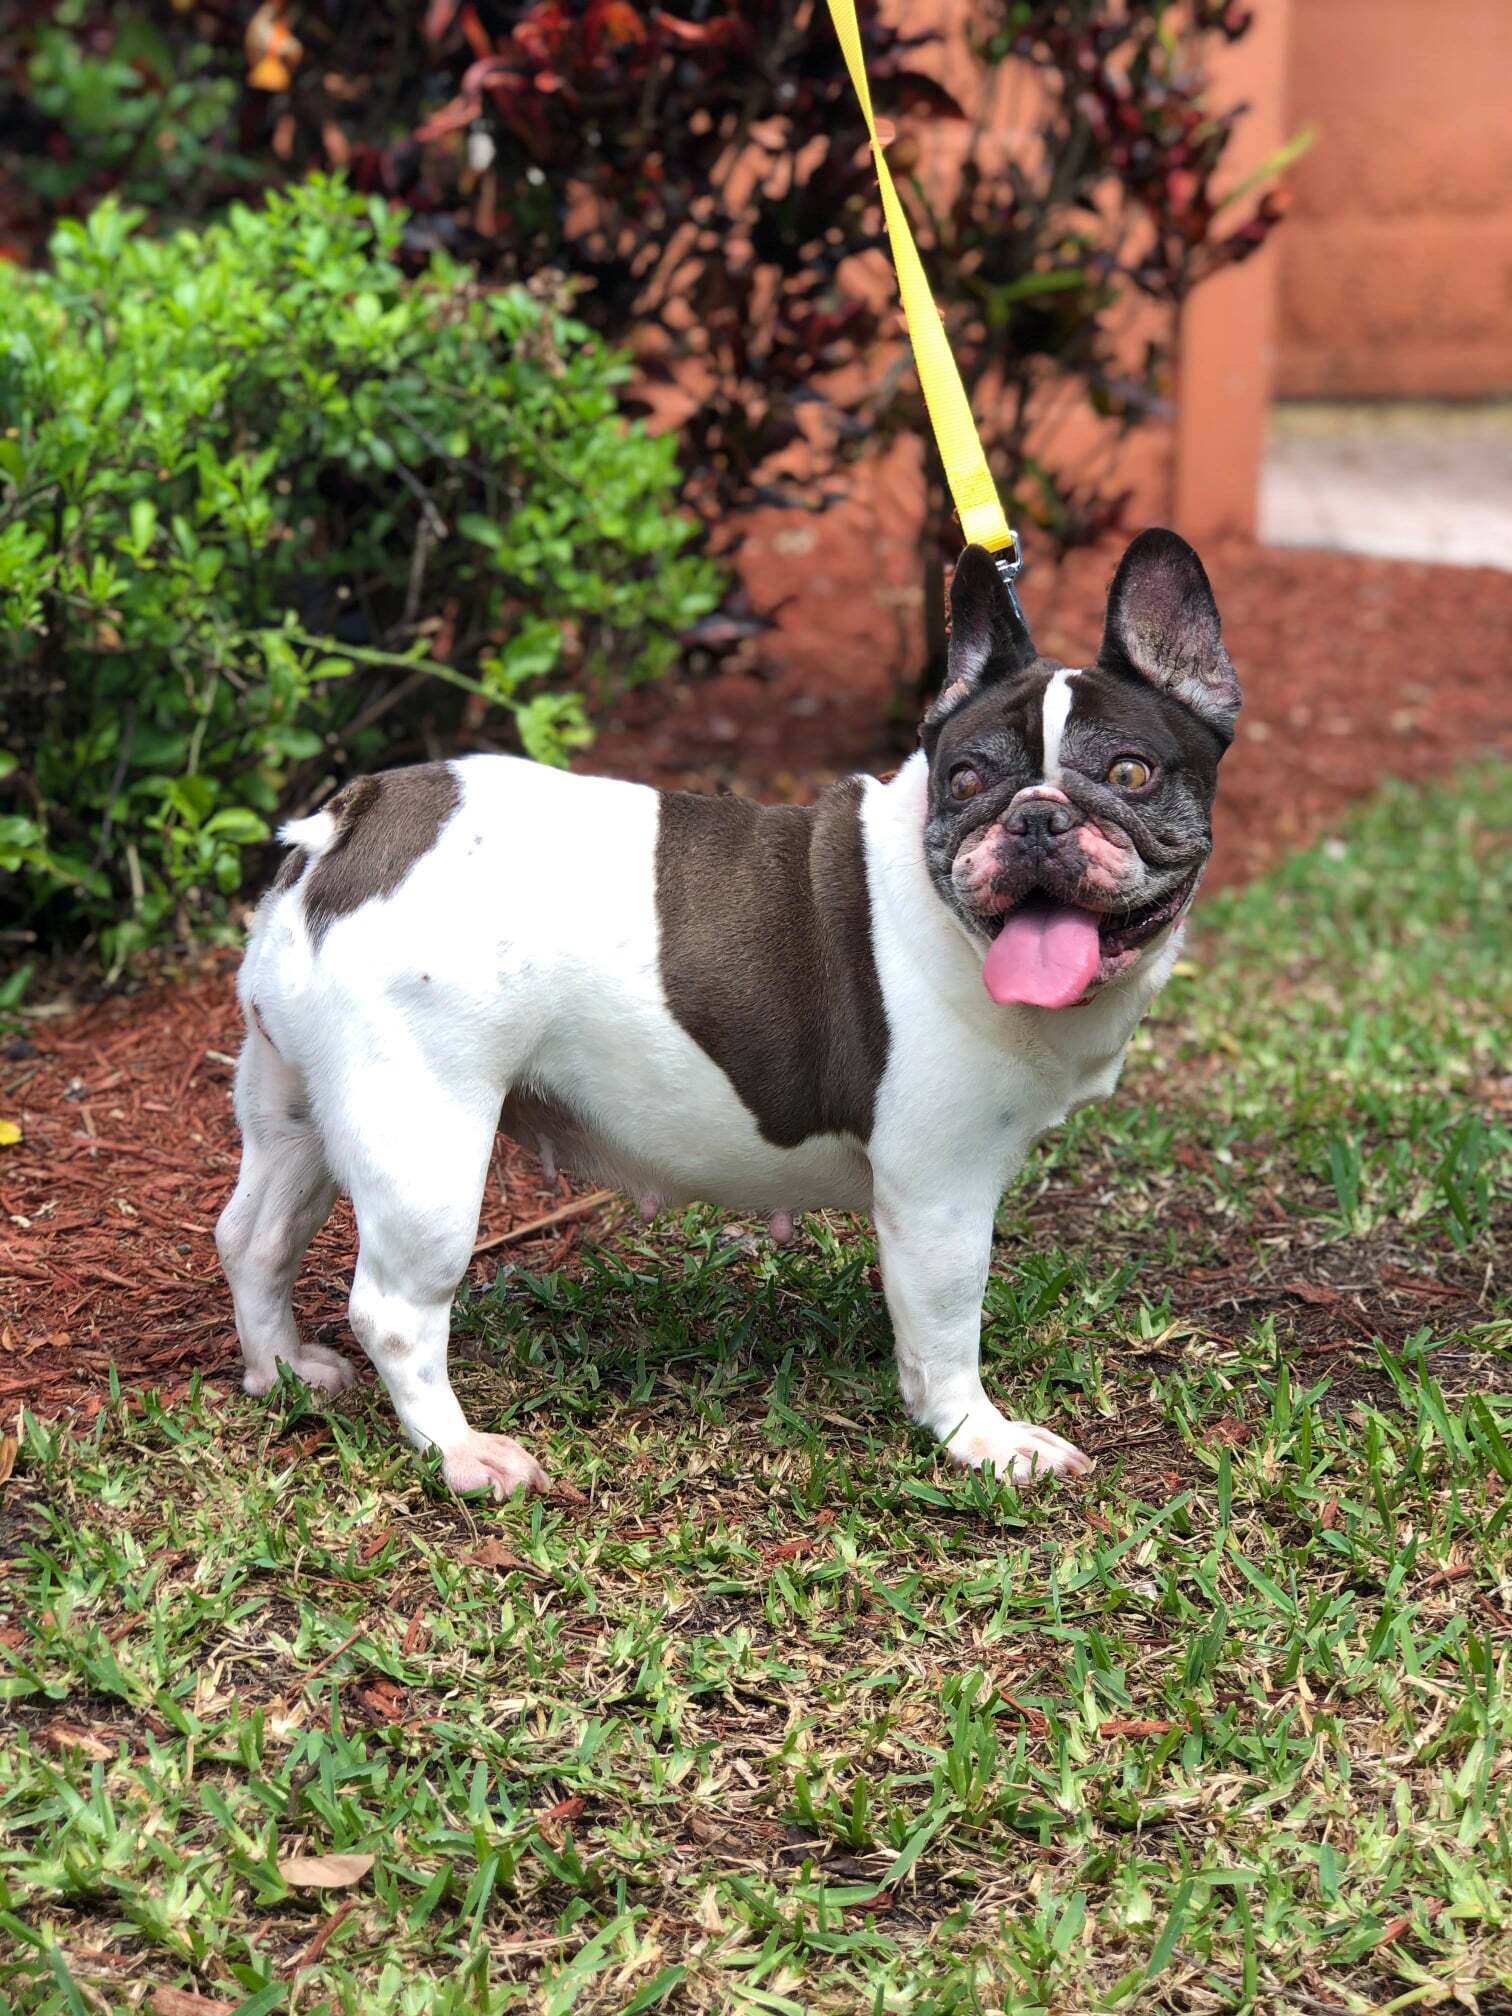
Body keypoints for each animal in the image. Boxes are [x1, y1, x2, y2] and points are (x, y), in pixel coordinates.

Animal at [218, 532, 1233, 1499]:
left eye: (1131, 773)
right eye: (969, 781)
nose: (1035, 818)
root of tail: (348, 827)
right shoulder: (938, 1190)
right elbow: (947, 1326)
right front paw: (975, 1439)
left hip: (300, 1102)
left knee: (255, 1235)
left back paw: (282, 1372)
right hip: (424, 1135)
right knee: (395, 1309)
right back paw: (460, 1453)